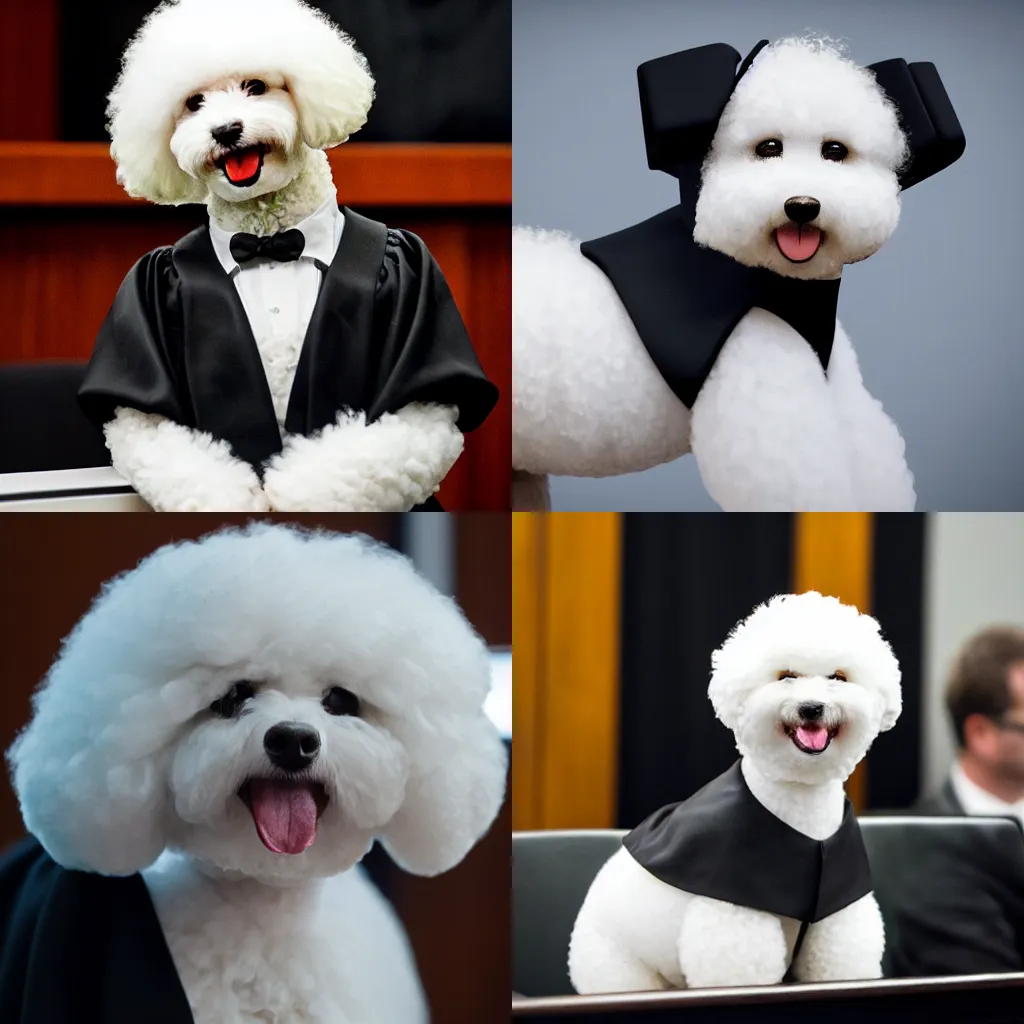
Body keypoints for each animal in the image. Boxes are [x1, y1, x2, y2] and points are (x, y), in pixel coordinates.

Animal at [77, 0, 497, 512]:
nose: (225, 130)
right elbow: (152, 427)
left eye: (256, 86)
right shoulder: (145, 306)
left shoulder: (417, 296)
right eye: (194, 103)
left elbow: (410, 416)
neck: (270, 238)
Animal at [516, 37, 962, 516]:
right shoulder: (762, 390)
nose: (802, 205)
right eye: (768, 147)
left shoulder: (835, 384)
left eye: (835, 151)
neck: (771, 280)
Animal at [573, 593, 901, 991]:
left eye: (838, 677)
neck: (802, 809)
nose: (811, 708)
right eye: (786, 676)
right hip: (618, 969)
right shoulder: (734, 913)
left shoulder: (838, 917)